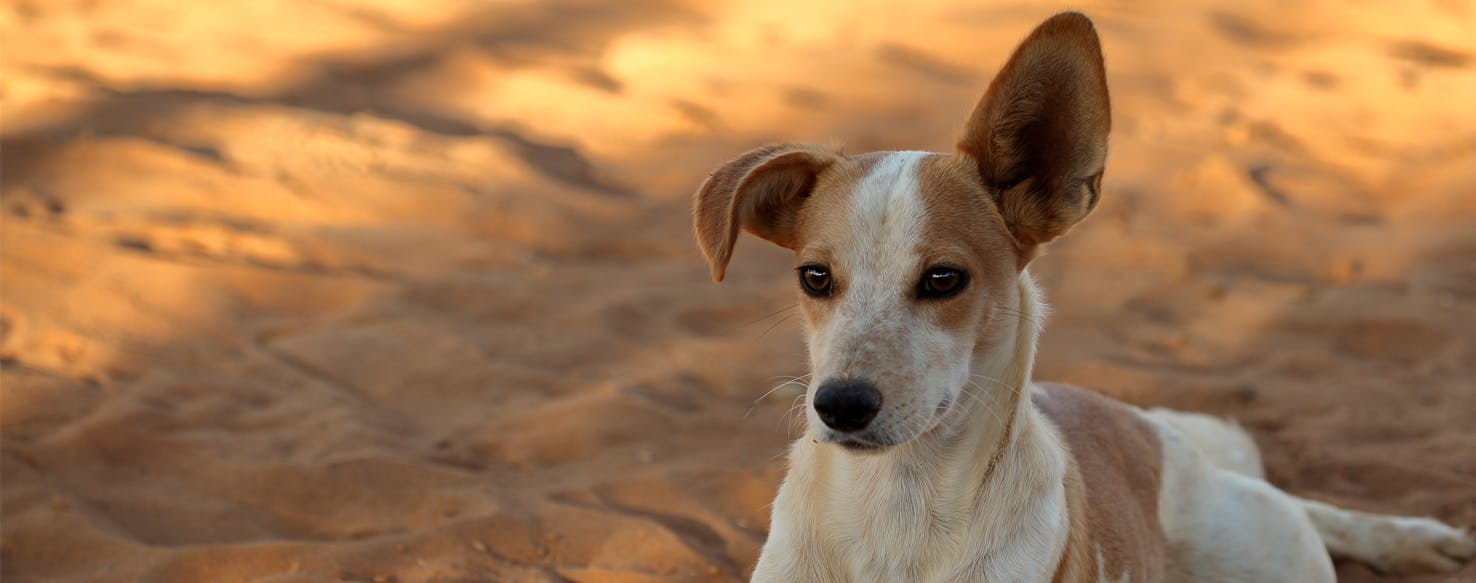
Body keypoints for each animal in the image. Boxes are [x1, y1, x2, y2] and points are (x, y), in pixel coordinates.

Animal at [690, 11, 1476, 581]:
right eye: (814, 277)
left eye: (944, 278)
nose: (840, 405)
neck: (898, 511)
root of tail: (1150, 431)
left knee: (1306, 513)